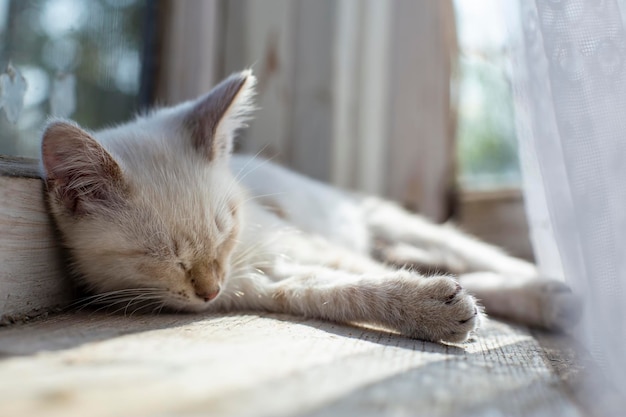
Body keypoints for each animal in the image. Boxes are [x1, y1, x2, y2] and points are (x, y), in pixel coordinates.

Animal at [37, 70, 576, 342]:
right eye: (160, 257)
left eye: (226, 230)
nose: (209, 292)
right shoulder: (262, 282)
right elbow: (347, 290)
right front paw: (433, 308)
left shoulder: (286, 246)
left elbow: (364, 271)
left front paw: (444, 307)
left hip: (393, 225)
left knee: (473, 257)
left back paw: (552, 291)